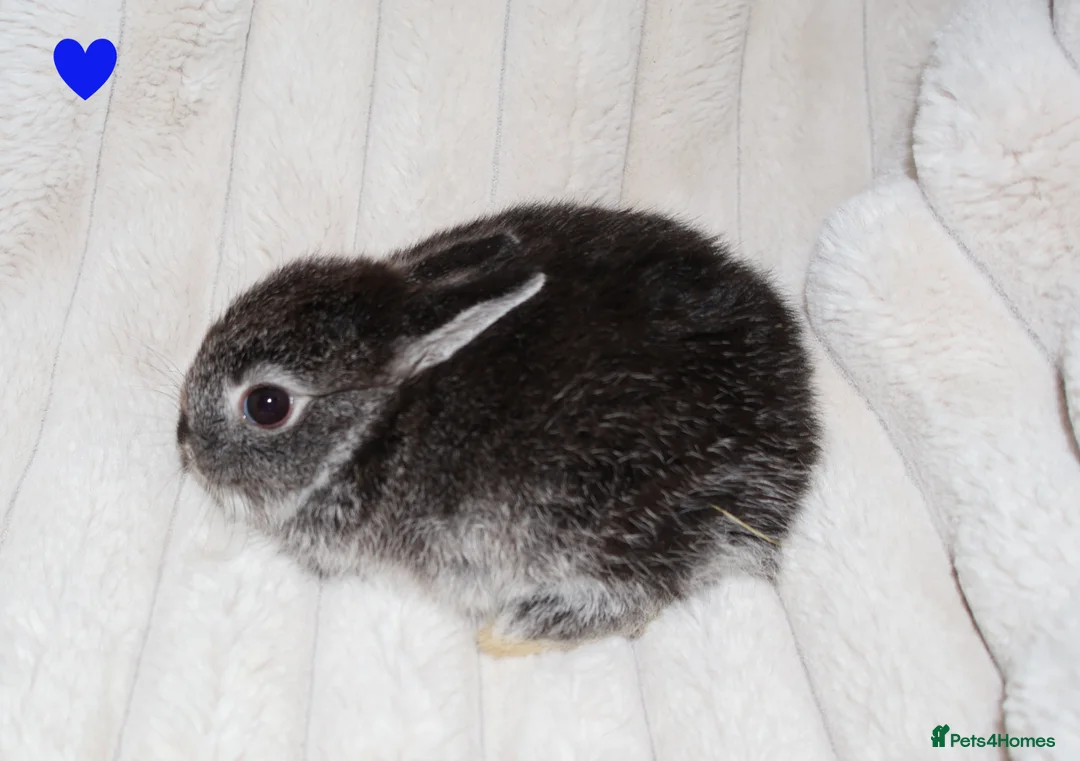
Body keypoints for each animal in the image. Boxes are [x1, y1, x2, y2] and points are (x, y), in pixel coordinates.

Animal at [177, 202, 822, 657]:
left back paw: (507, 633)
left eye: (266, 404)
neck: (374, 425)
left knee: (635, 599)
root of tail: (793, 428)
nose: (185, 442)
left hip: (622, 526)